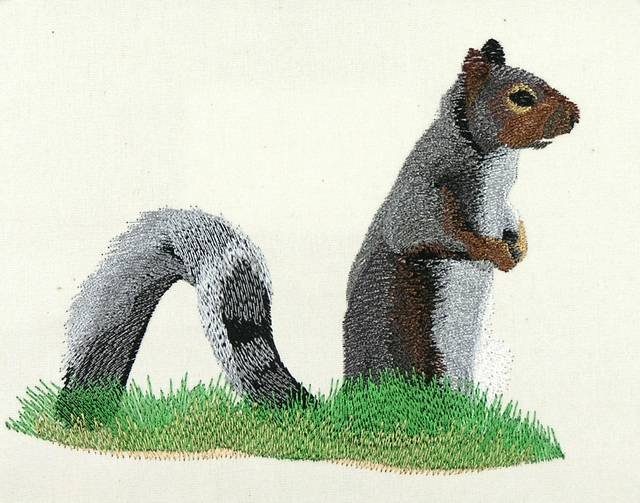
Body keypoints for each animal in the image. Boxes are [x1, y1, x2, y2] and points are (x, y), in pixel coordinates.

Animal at [57, 39, 579, 421]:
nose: (576, 115)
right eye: (521, 98)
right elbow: (430, 232)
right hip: (414, 352)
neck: (492, 158)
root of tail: (347, 408)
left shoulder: (499, 203)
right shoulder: (425, 191)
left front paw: (518, 245)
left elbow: (510, 221)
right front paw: (492, 251)